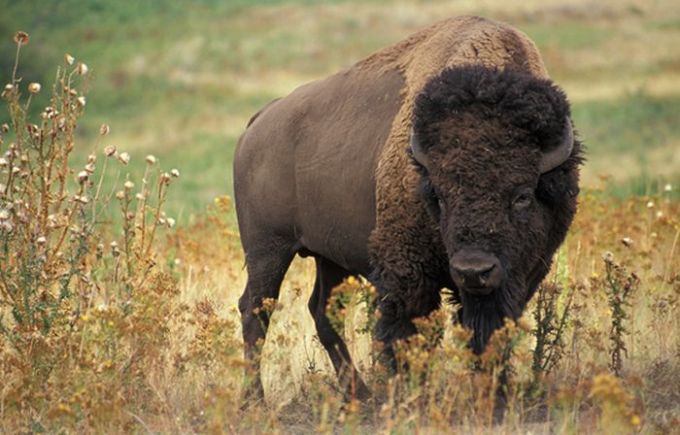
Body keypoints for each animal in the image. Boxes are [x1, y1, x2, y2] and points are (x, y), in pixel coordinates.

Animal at [233, 16, 582, 400]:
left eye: (522, 195)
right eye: (440, 196)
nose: (473, 270)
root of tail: (260, 120)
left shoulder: (522, 273)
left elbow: (489, 332)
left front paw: (493, 393)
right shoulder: (407, 273)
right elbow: (407, 334)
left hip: (329, 256)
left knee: (322, 310)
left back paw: (360, 395)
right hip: (268, 249)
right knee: (256, 310)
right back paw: (255, 399)